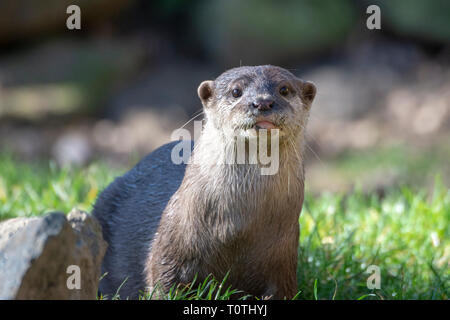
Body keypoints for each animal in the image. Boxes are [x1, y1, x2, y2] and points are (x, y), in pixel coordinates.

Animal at [92, 65, 316, 300]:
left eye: (284, 89)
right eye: (236, 91)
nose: (262, 102)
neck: (237, 230)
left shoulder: (283, 262)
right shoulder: (170, 250)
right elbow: (163, 282)